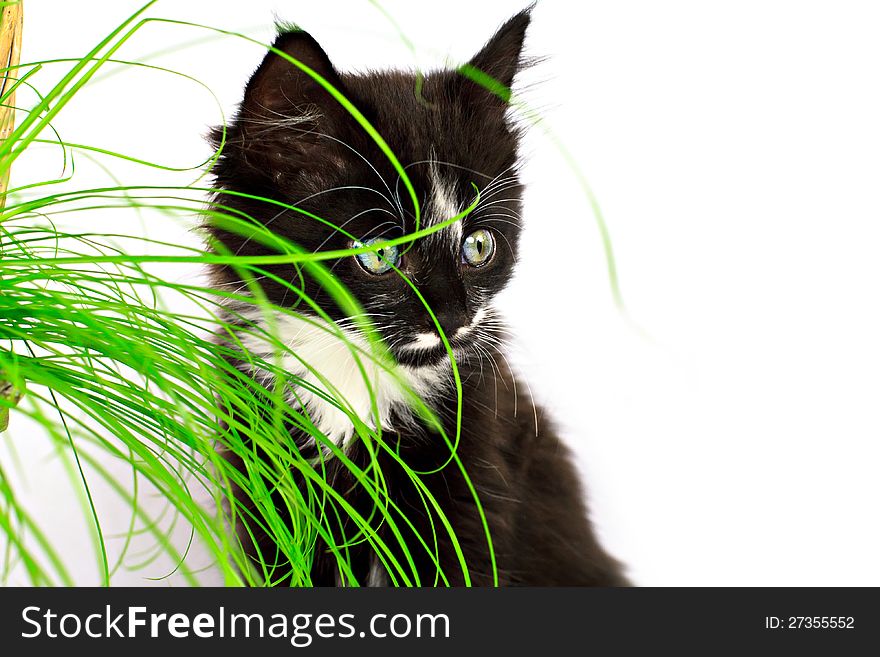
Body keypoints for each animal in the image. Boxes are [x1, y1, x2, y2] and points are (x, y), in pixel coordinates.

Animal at [206, 9, 624, 584]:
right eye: (379, 256)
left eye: (478, 246)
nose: (453, 317)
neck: (356, 382)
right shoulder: (268, 488)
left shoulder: (472, 482)